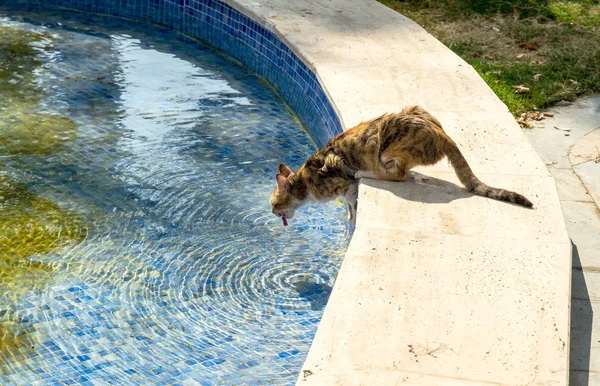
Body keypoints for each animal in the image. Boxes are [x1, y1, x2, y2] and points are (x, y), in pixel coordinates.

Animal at [270, 105, 532, 226]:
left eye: (273, 205)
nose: (272, 213)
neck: (304, 182)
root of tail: (443, 134)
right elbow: (350, 206)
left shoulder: (345, 185)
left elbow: (352, 203)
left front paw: (352, 219)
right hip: (413, 108)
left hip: (385, 144)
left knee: (398, 175)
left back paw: (367, 171)